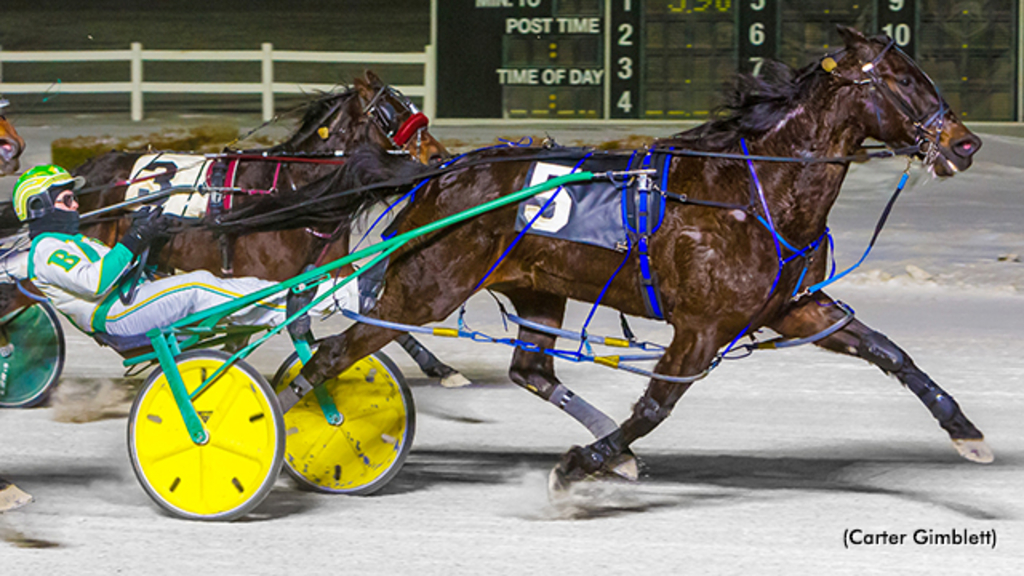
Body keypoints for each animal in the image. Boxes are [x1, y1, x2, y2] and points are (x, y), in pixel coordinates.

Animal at [235, 25, 987, 483]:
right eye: (905, 81)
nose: (965, 143)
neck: (751, 190)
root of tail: (442, 173)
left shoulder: (791, 306)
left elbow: (891, 353)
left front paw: (965, 430)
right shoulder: (702, 324)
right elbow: (657, 405)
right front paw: (583, 465)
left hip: (536, 288)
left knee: (532, 370)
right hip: (424, 290)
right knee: (332, 356)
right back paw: (287, 432)